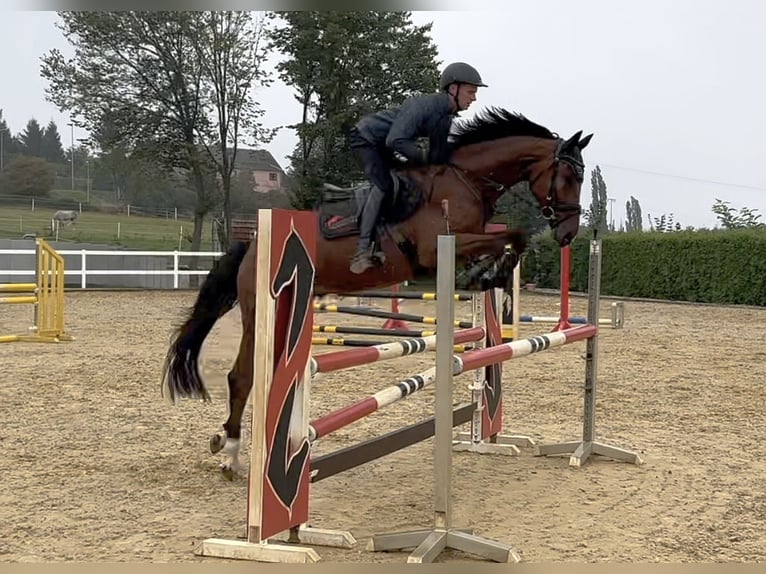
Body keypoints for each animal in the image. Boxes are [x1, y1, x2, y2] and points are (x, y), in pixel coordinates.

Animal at [160, 108, 592, 482]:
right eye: (569, 177)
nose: (568, 232)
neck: (465, 178)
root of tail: (250, 246)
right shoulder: (437, 249)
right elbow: (513, 236)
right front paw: (486, 274)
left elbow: (513, 238)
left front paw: (488, 275)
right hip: (261, 314)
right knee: (242, 377)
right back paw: (233, 453)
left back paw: (230, 446)